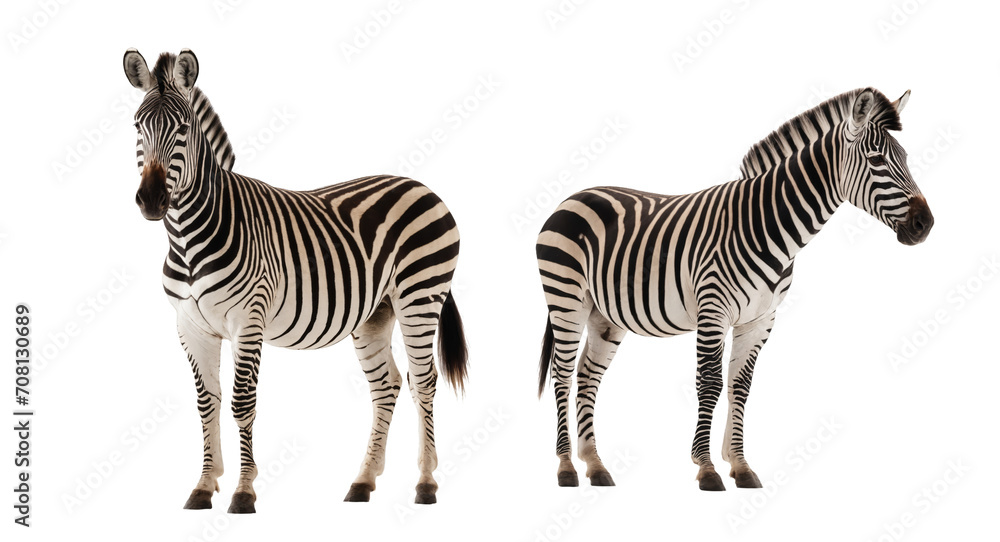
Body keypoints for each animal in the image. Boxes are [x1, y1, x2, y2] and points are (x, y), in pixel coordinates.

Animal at [123, 48, 468, 512]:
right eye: (137, 126)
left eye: (182, 128)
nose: (151, 200)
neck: (188, 238)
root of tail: (421, 186)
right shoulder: (190, 327)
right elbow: (206, 402)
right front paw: (204, 485)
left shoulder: (247, 320)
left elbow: (241, 402)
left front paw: (244, 492)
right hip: (376, 312)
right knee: (387, 384)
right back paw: (363, 481)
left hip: (420, 296)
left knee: (424, 381)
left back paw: (426, 483)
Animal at [535, 88, 933, 491]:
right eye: (877, 159)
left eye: (905, 158)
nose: (925, 224)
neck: (771, 227)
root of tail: (574, 195)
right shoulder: (714, 310)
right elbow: (710, 383)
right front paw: (706, 468)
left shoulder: (759, 319)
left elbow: (740, 385)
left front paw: (740, 465)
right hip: (566, 297)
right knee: (563, 373)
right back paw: (566, 466)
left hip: (605, 315)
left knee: (588, 376)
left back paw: (595, 465)